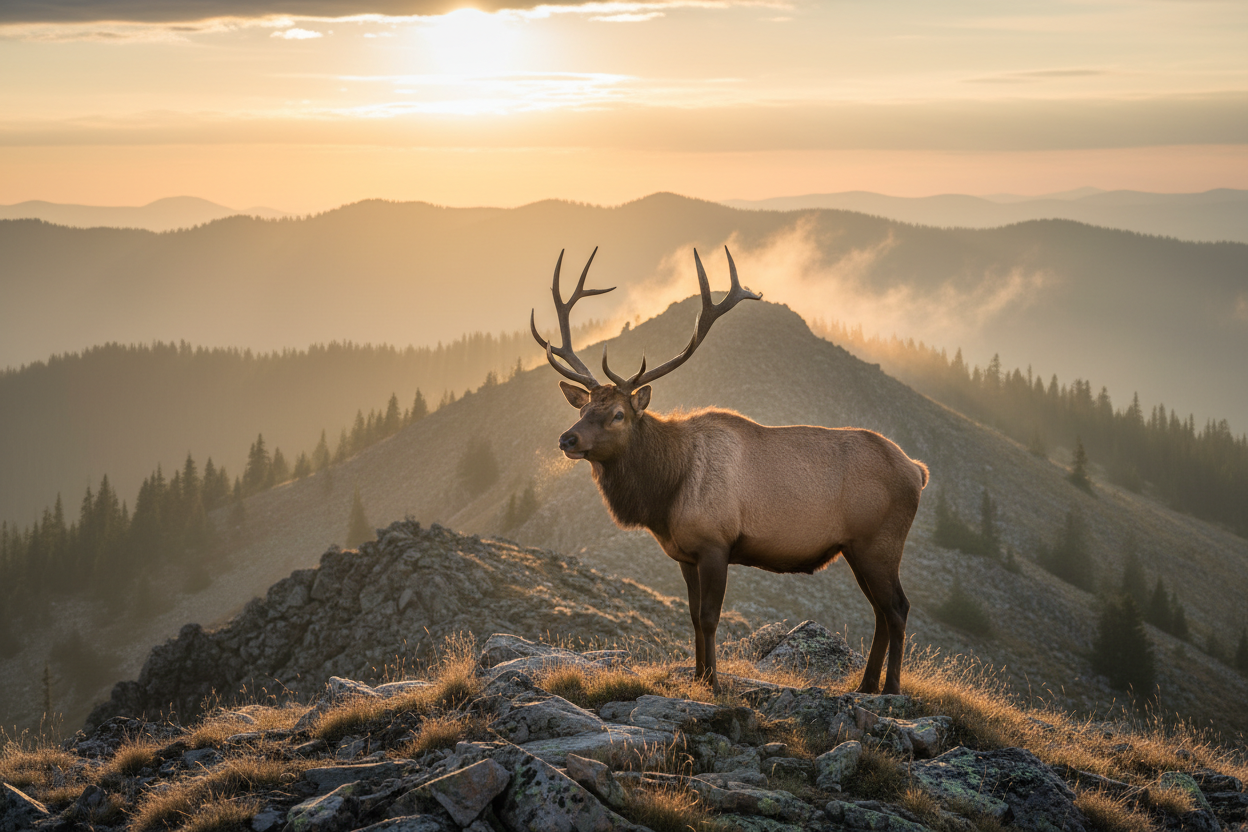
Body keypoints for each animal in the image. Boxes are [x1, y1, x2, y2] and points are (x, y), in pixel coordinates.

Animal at [531, 246, 929, 694]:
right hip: (856, 548)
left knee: (898, 607)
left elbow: (709, 617)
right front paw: (699, 677)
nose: (567, 439)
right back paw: (865, 686)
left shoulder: (715, 544)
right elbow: (692, 617)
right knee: (881, 611)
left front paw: (714, 682)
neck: (665, 494)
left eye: (618, 414)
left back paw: (890, 688)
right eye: (583, 408)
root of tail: (918, 471)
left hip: (880, 541)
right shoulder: (684, 554)